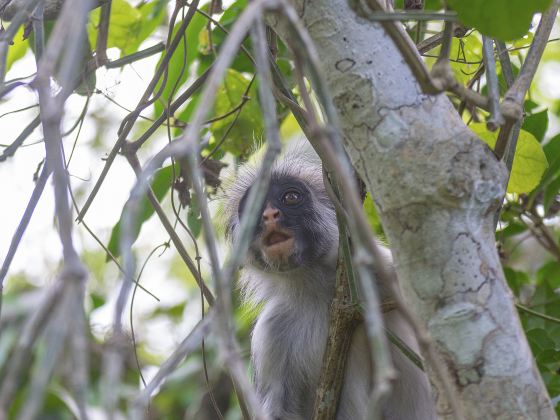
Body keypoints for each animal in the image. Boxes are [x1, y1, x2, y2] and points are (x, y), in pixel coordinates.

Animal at [223, 144, 438, 420]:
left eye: (290, 198)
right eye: (255, 207)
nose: (269, 214)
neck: (318, 289)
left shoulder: (384, 271)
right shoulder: (271, 331)